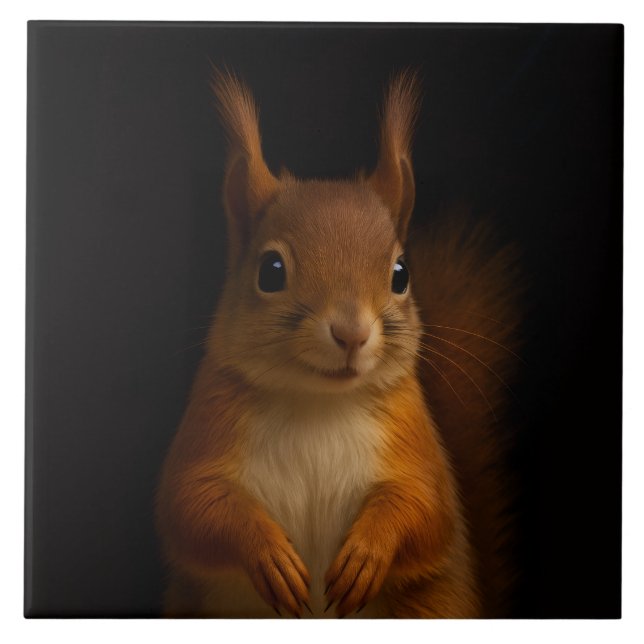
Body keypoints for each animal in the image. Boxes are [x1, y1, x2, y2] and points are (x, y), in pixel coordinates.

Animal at [156, 69, 521, 618]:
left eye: (401, 273)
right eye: (271, 270)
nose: (351, 333)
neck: (317, 404)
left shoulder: (413, 439)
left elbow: (425, 510)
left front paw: (367, 556)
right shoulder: (211, 423)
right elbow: (192, 504)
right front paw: (269, 556)